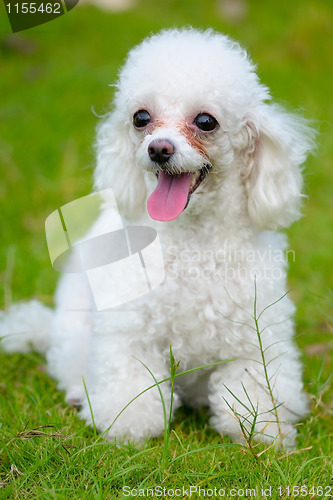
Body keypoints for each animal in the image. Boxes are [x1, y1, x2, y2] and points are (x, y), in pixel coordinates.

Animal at [0, 28, 314, 446]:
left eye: (206, 121)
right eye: (141, 118)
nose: (159, 149)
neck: (193, 239)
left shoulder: (256, 336)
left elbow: (252, 387)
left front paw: (261, 427)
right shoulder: (130, 330)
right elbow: (132, 384)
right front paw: (129, 423)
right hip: (76, 334)